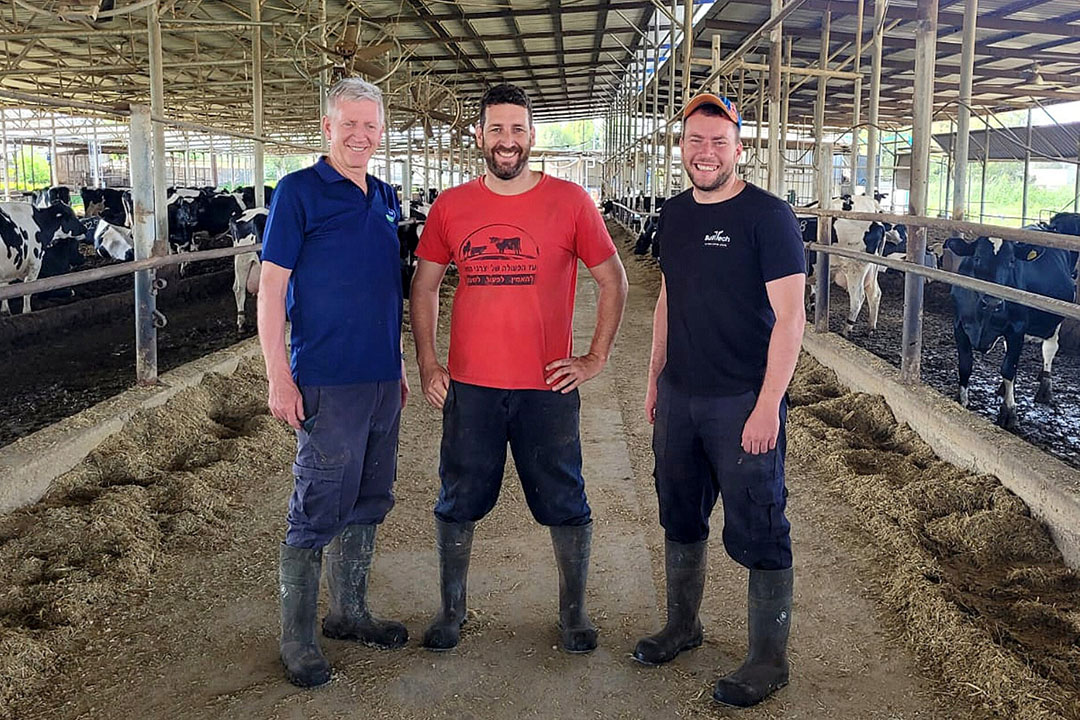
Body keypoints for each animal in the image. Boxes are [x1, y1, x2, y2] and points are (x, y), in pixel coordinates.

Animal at [946, 222, 1080, 431]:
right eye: (977, 258)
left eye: (1011, 261)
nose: (993, 302)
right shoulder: (959, 325)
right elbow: (965, 365)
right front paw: (961, 400)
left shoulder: (1017, 329)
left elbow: (1008, 369)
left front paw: (1009, 413)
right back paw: (1003, 389)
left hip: (1056, 317)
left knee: (1049, 348)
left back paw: (1045, 389)